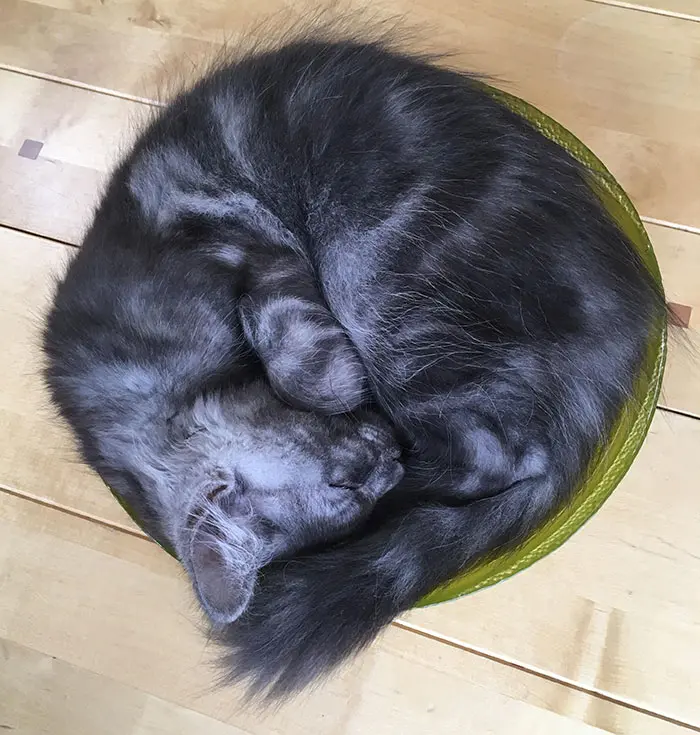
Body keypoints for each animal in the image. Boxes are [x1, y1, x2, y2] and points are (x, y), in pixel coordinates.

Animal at [43, 36, 668, 700]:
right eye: (350, 500)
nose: (387, 463)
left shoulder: (246, 245)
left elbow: (300, 363)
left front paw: (328, 373)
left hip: (370, 278)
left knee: (503, 458)